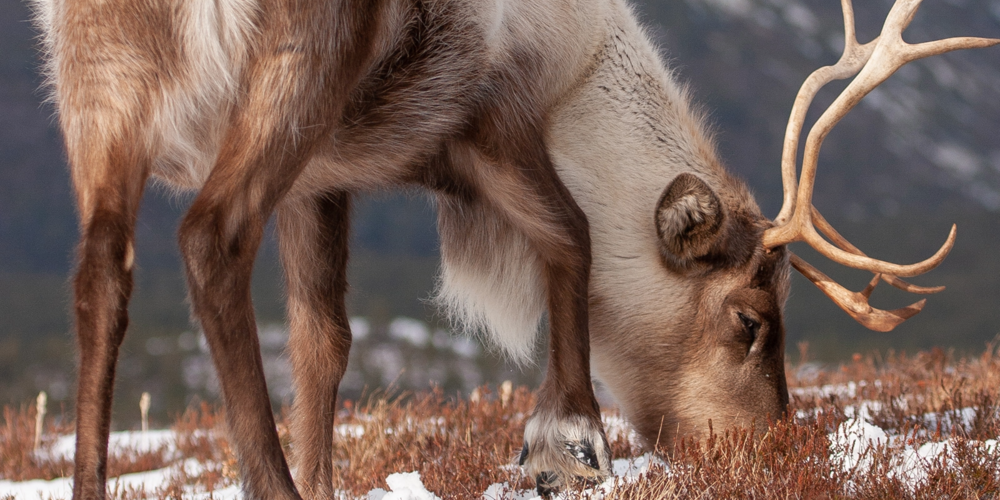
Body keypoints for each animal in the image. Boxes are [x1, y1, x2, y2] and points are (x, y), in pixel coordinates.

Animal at [30, 0, 997, 497]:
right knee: (209, 238)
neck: (580, 77)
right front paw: (567, 440)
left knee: (99, 275)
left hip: (98, 83)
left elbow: (323, 343)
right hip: (303, 57)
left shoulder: (325, 177)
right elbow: (573, 239)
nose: (772, 448)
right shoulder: (492, 120)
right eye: (750, 319)